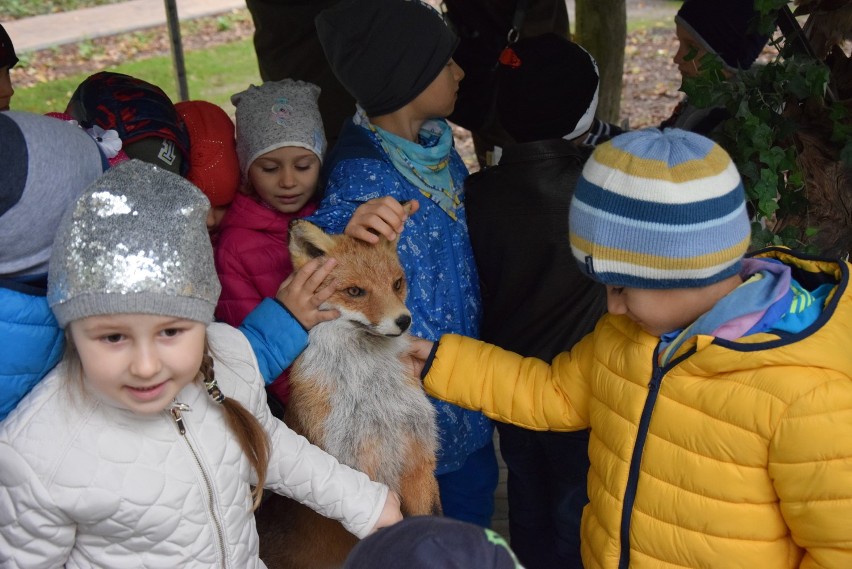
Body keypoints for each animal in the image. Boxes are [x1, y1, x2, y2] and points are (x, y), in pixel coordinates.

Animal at [255, 214, 440, 568]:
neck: (375, 396)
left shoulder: (418, 461)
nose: (404, 321)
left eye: (397, 284)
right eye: (355, 291)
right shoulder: (360, 473)